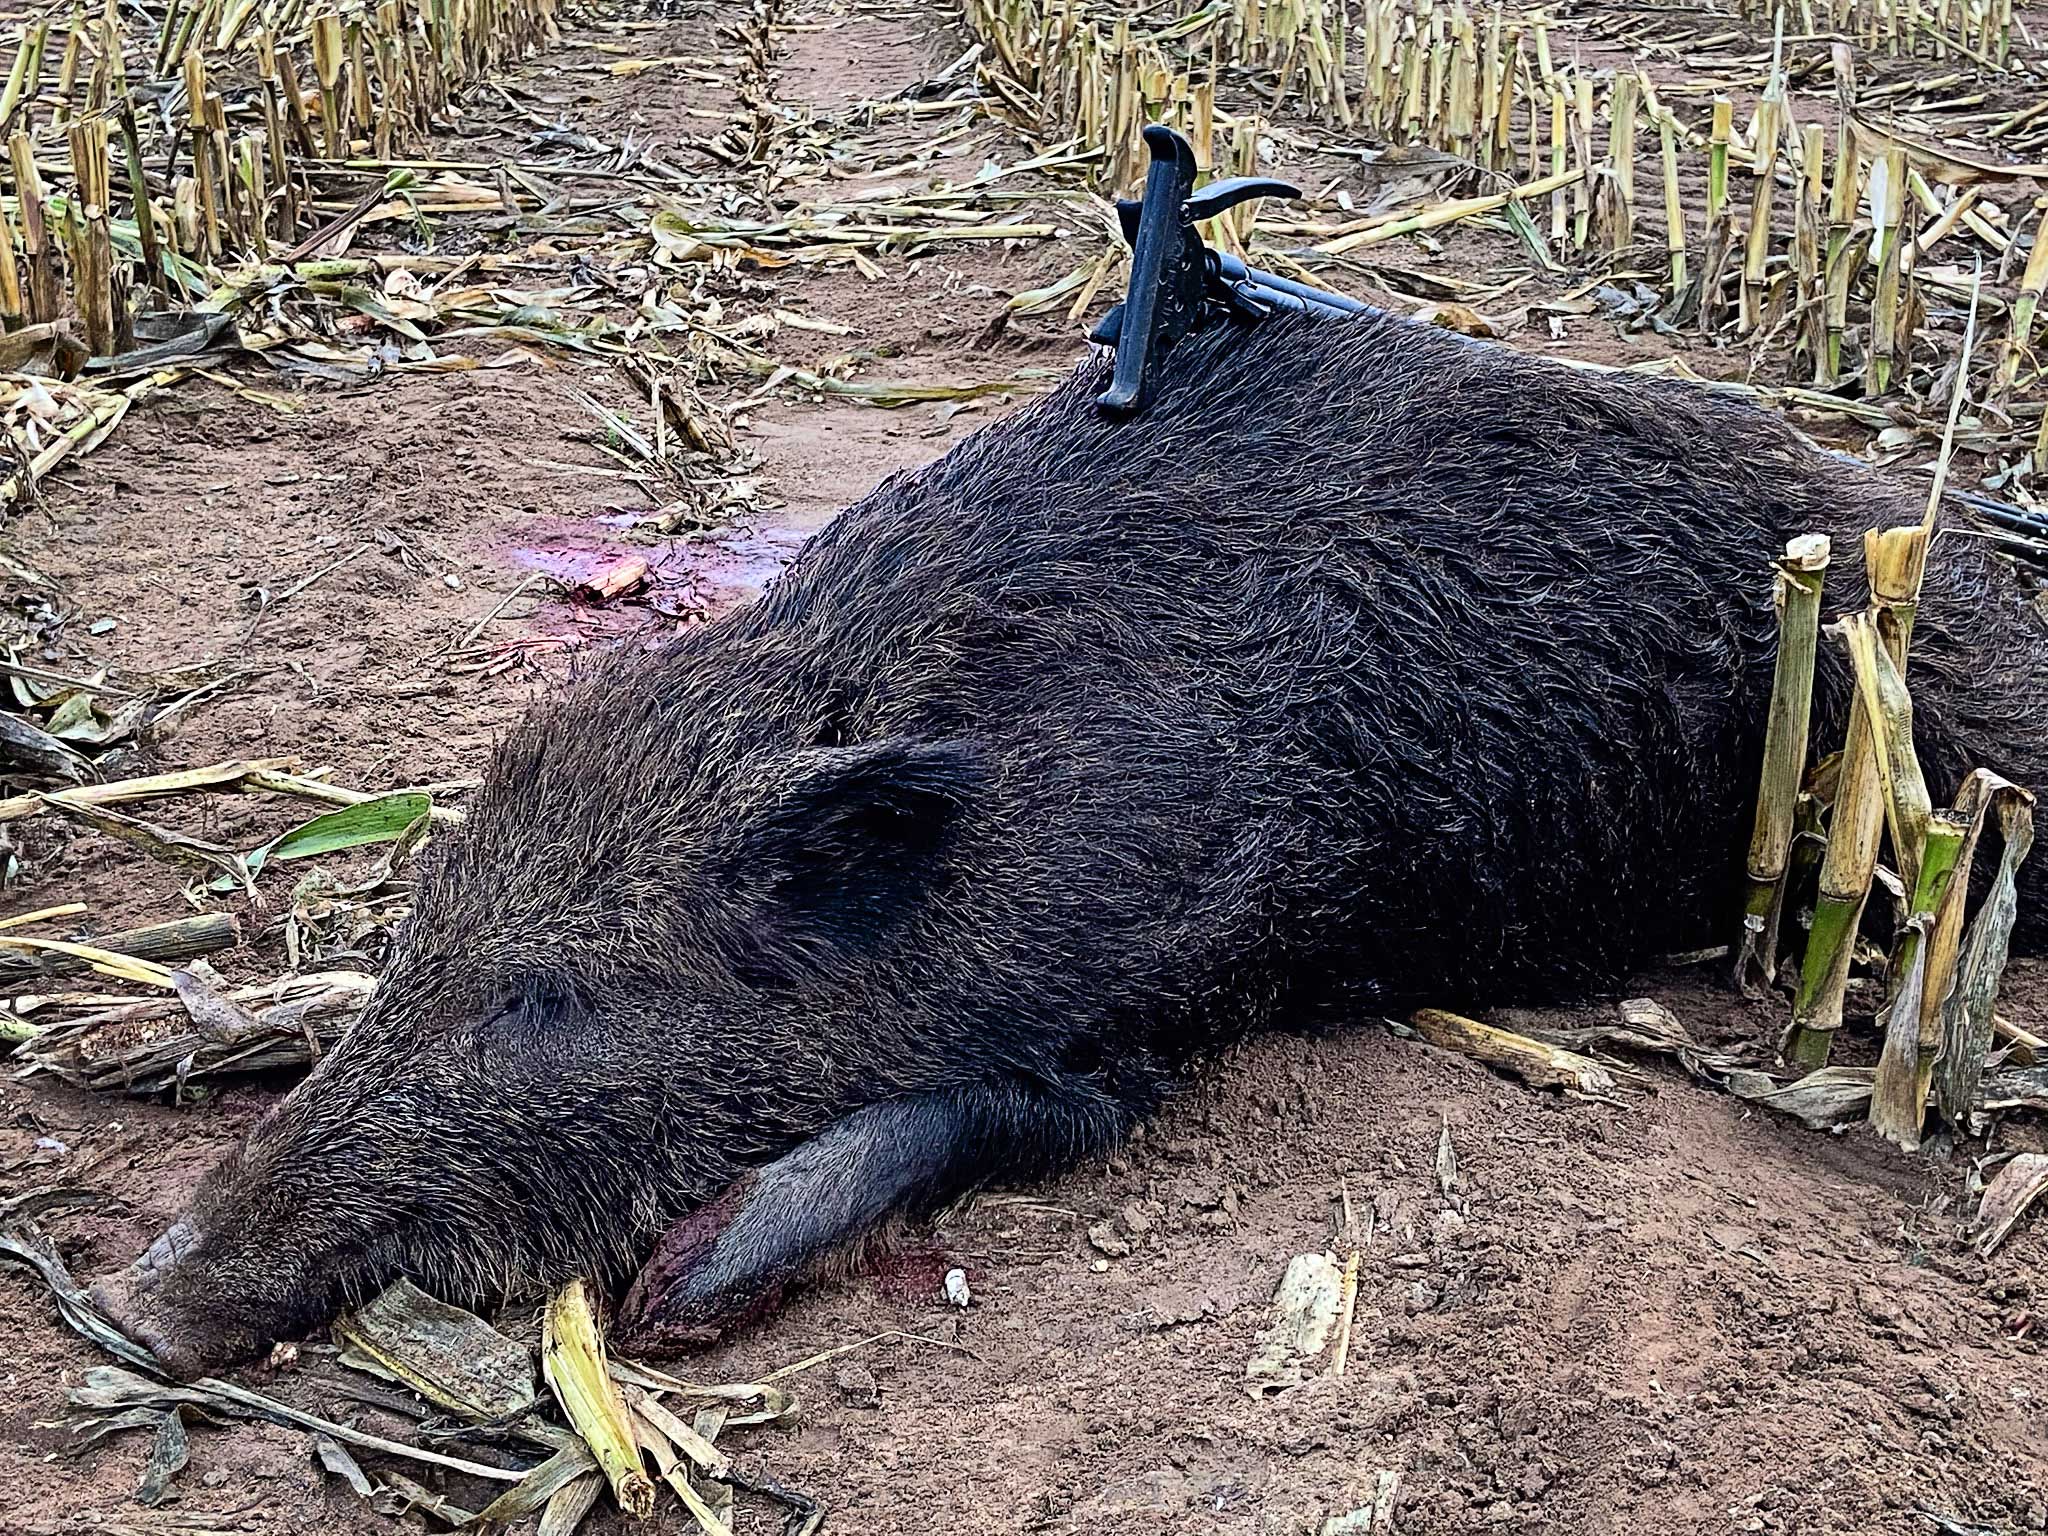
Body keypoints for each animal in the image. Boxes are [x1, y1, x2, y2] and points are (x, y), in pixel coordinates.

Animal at [99, 309, 2048, 1377]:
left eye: (555, 1003)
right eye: (427, 935)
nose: (139, 1304)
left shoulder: (1175, 985)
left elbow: (964, 1114)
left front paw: (669, 1293)